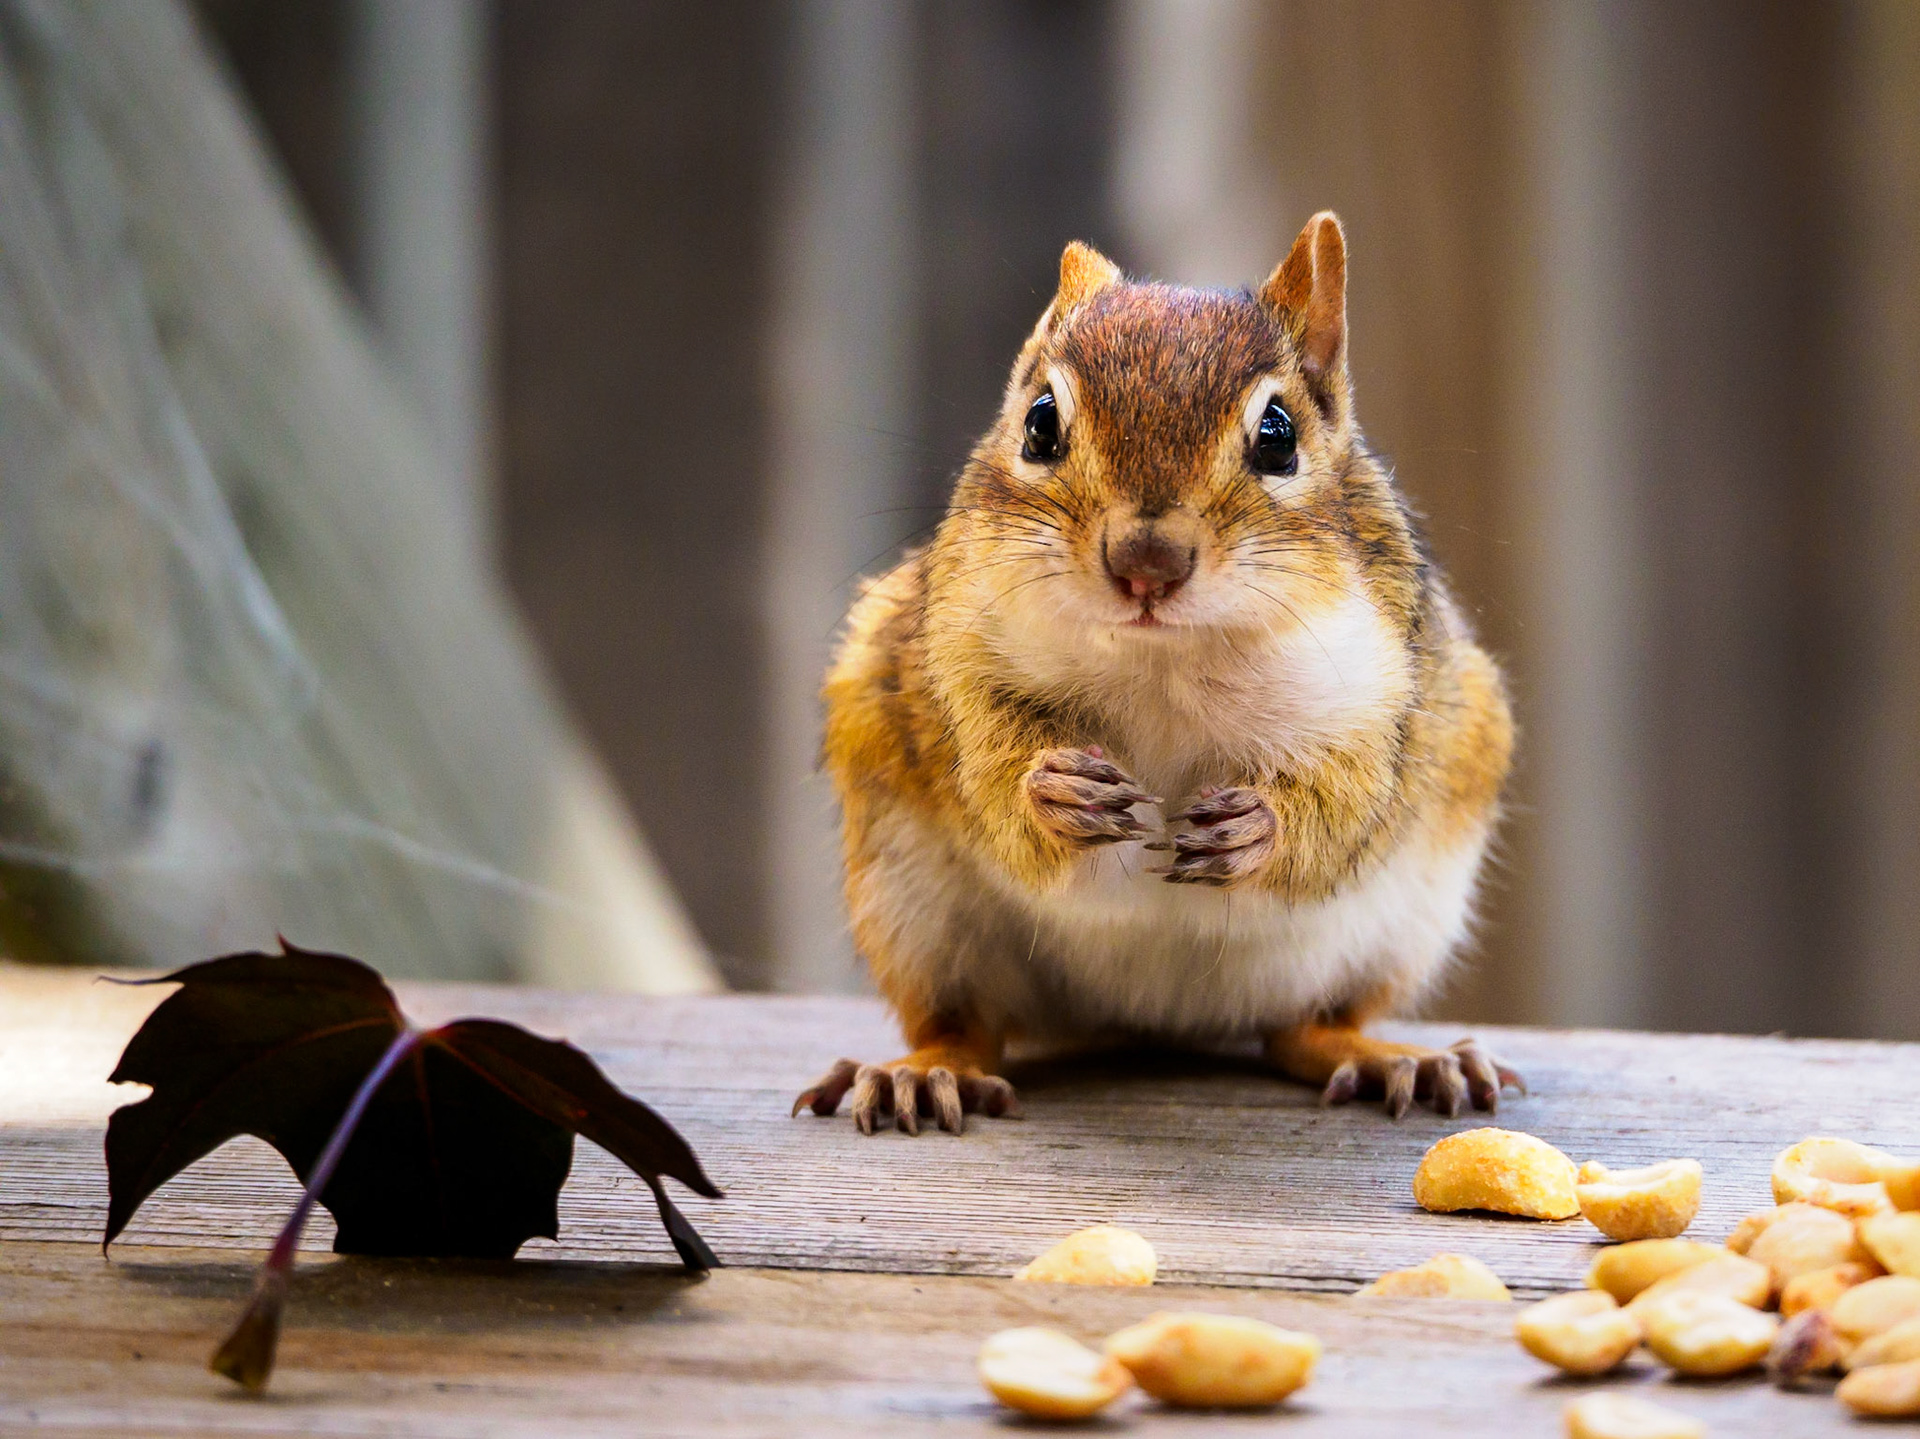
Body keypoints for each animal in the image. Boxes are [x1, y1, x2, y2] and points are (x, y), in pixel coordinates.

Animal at [793, 211, 1517, 1136]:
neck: (1163, 657)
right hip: (912, 909)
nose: (1146, 563)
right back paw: (924, 1071)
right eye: (1039, 424)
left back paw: (1394, 1056)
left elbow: (1346, 803)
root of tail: (1151, 1016)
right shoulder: (953, 666)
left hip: (1389, 930)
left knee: (1304, 1029)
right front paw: (1054, 790)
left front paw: (1258, 826)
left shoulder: (1385, 695)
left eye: (1279, 435)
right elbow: (991, 781)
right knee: (966, 1026)